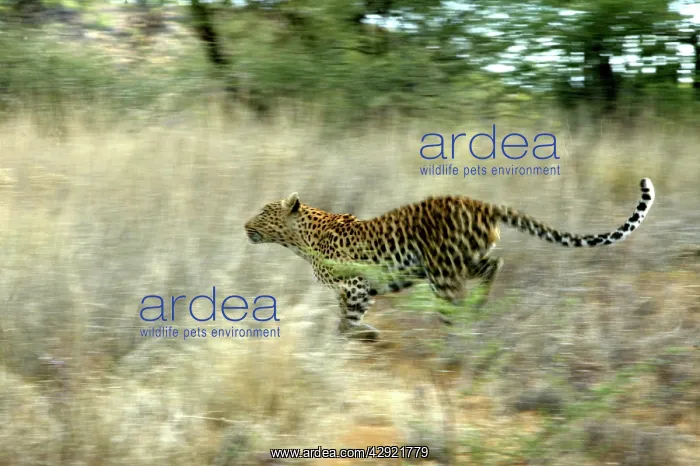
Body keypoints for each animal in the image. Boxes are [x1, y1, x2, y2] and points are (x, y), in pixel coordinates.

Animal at [244, 178, 655, 341]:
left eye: (263, 212)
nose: (245, 225)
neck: (300, 239)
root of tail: (481, 203)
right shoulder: (357, 289)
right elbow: (345, 321)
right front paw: (360, 336)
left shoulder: (356, 285)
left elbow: (347, 323)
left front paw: (362, 337)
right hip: (458, 261)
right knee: (492, 266)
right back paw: (478, 307)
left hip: (440, 271)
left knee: (454, 306)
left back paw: (460, 333)